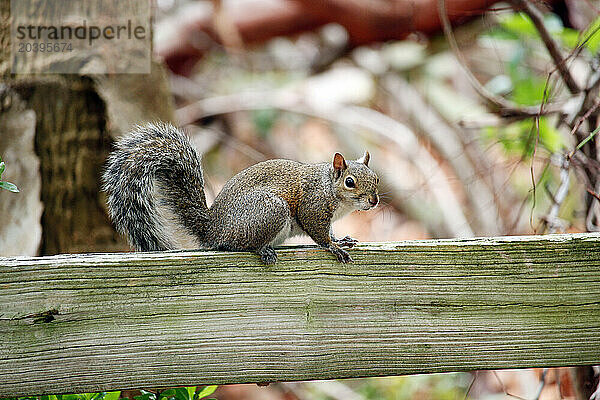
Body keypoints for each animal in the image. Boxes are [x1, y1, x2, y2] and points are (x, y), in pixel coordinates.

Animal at [101, 123, 378, 264]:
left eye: (376, 178)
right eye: (350, 182)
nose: (374, 200)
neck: (330, 187)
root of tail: (212, 228)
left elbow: (330, 230)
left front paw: (341, 239)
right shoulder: (313, 205)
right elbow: (319, 233)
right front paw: (334, 247)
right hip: (270, 210)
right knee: (240, 245)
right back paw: (262, 250)